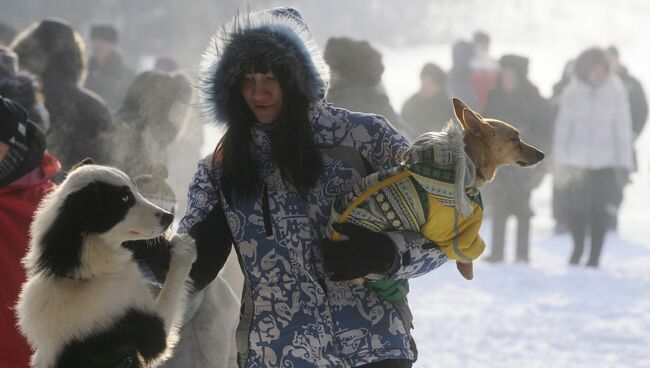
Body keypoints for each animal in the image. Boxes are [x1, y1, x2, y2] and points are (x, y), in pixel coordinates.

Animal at [16, 165, 196, 368]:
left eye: (134, 189)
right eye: (124, 199)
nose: (169, 217)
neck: (81, 276)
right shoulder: (152, 333)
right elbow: (174, 282)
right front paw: (184, 247)